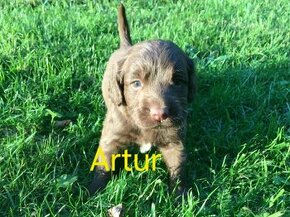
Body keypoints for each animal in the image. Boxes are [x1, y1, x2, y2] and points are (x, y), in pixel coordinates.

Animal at [89, 3, 196, 196]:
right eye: (136, 83)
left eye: (178, 82)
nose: (159, 114)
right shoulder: (111, 138)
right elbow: (103, 167)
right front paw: (94, 193)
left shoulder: (174, 140)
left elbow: (178, 169)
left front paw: (180, 196)